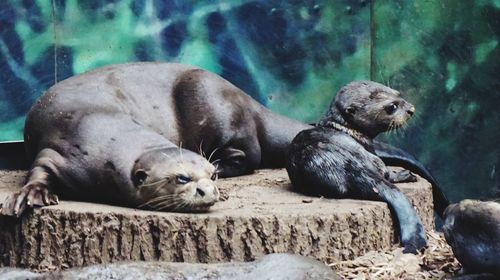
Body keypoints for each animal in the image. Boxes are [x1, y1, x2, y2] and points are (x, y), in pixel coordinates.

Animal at [288, 81, 428, 254]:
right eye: (391, 107)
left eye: (399, 94)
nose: (411, 109)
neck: (345, 129)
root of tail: (348, 162)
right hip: (373, 160)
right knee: (385, 173)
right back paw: (406, 175)